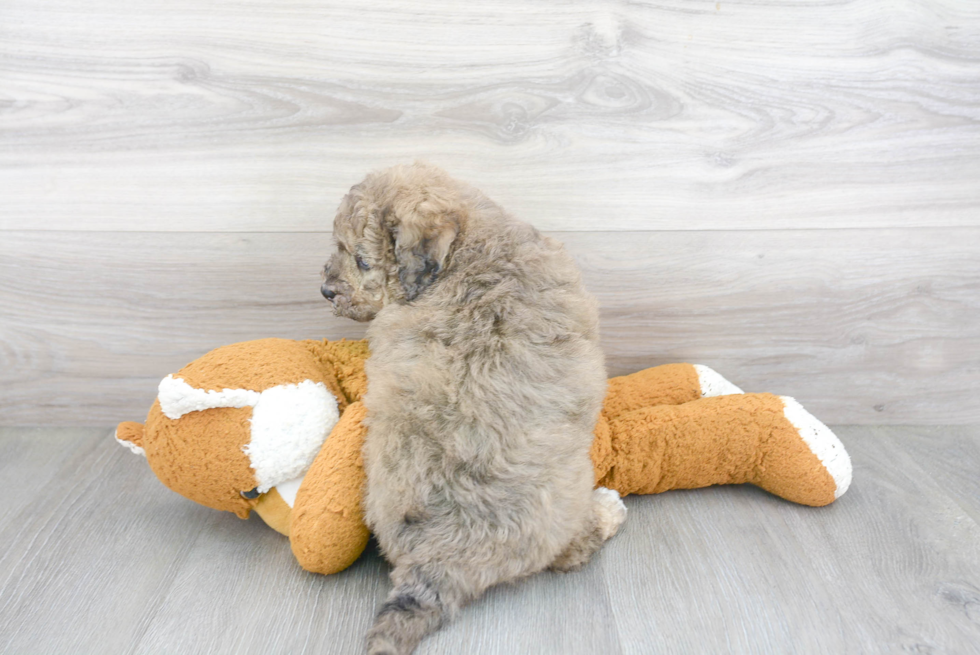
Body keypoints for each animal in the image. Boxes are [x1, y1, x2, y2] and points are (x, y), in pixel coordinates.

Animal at [322, 163, 628, 655]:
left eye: (362, 260)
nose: (325, 290)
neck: (469, 250)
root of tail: (433, 562)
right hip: (564, 498)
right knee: (570, 552)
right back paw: (608, 511)